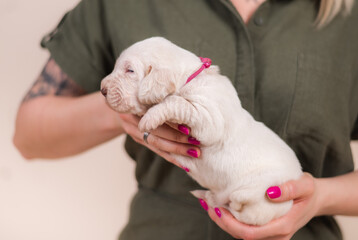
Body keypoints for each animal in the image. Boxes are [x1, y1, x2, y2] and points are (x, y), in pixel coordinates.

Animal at [100, 37, 302, 225]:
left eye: (130, 71)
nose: (102, 90)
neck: (188, 78)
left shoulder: (209, 118)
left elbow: (175, 102)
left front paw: (149, 117)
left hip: (266, 199)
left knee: (242, 211)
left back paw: (220, 200)